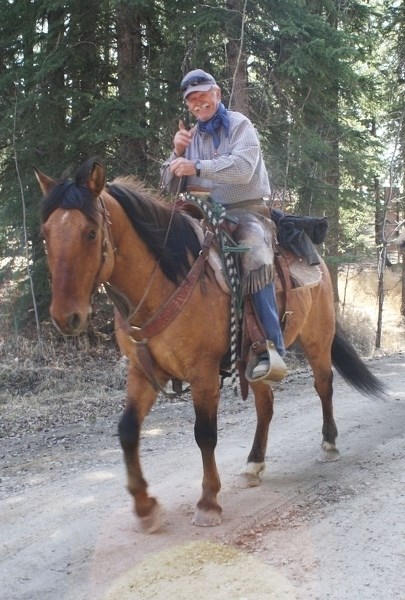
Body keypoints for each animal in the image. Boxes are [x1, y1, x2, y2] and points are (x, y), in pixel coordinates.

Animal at [36, 158, 384, 528]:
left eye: (90, 232)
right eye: (46, 233)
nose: (66, 317)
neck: (164, 280)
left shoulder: (202, 372)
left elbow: (205, 433)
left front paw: (208, 503)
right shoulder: (142, 371)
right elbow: (128, 429)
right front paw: (145, 506)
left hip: (317, 338)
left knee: (323, 386)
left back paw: (328, 445)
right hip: (253, 361)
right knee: (266, 405)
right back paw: (253, 464)